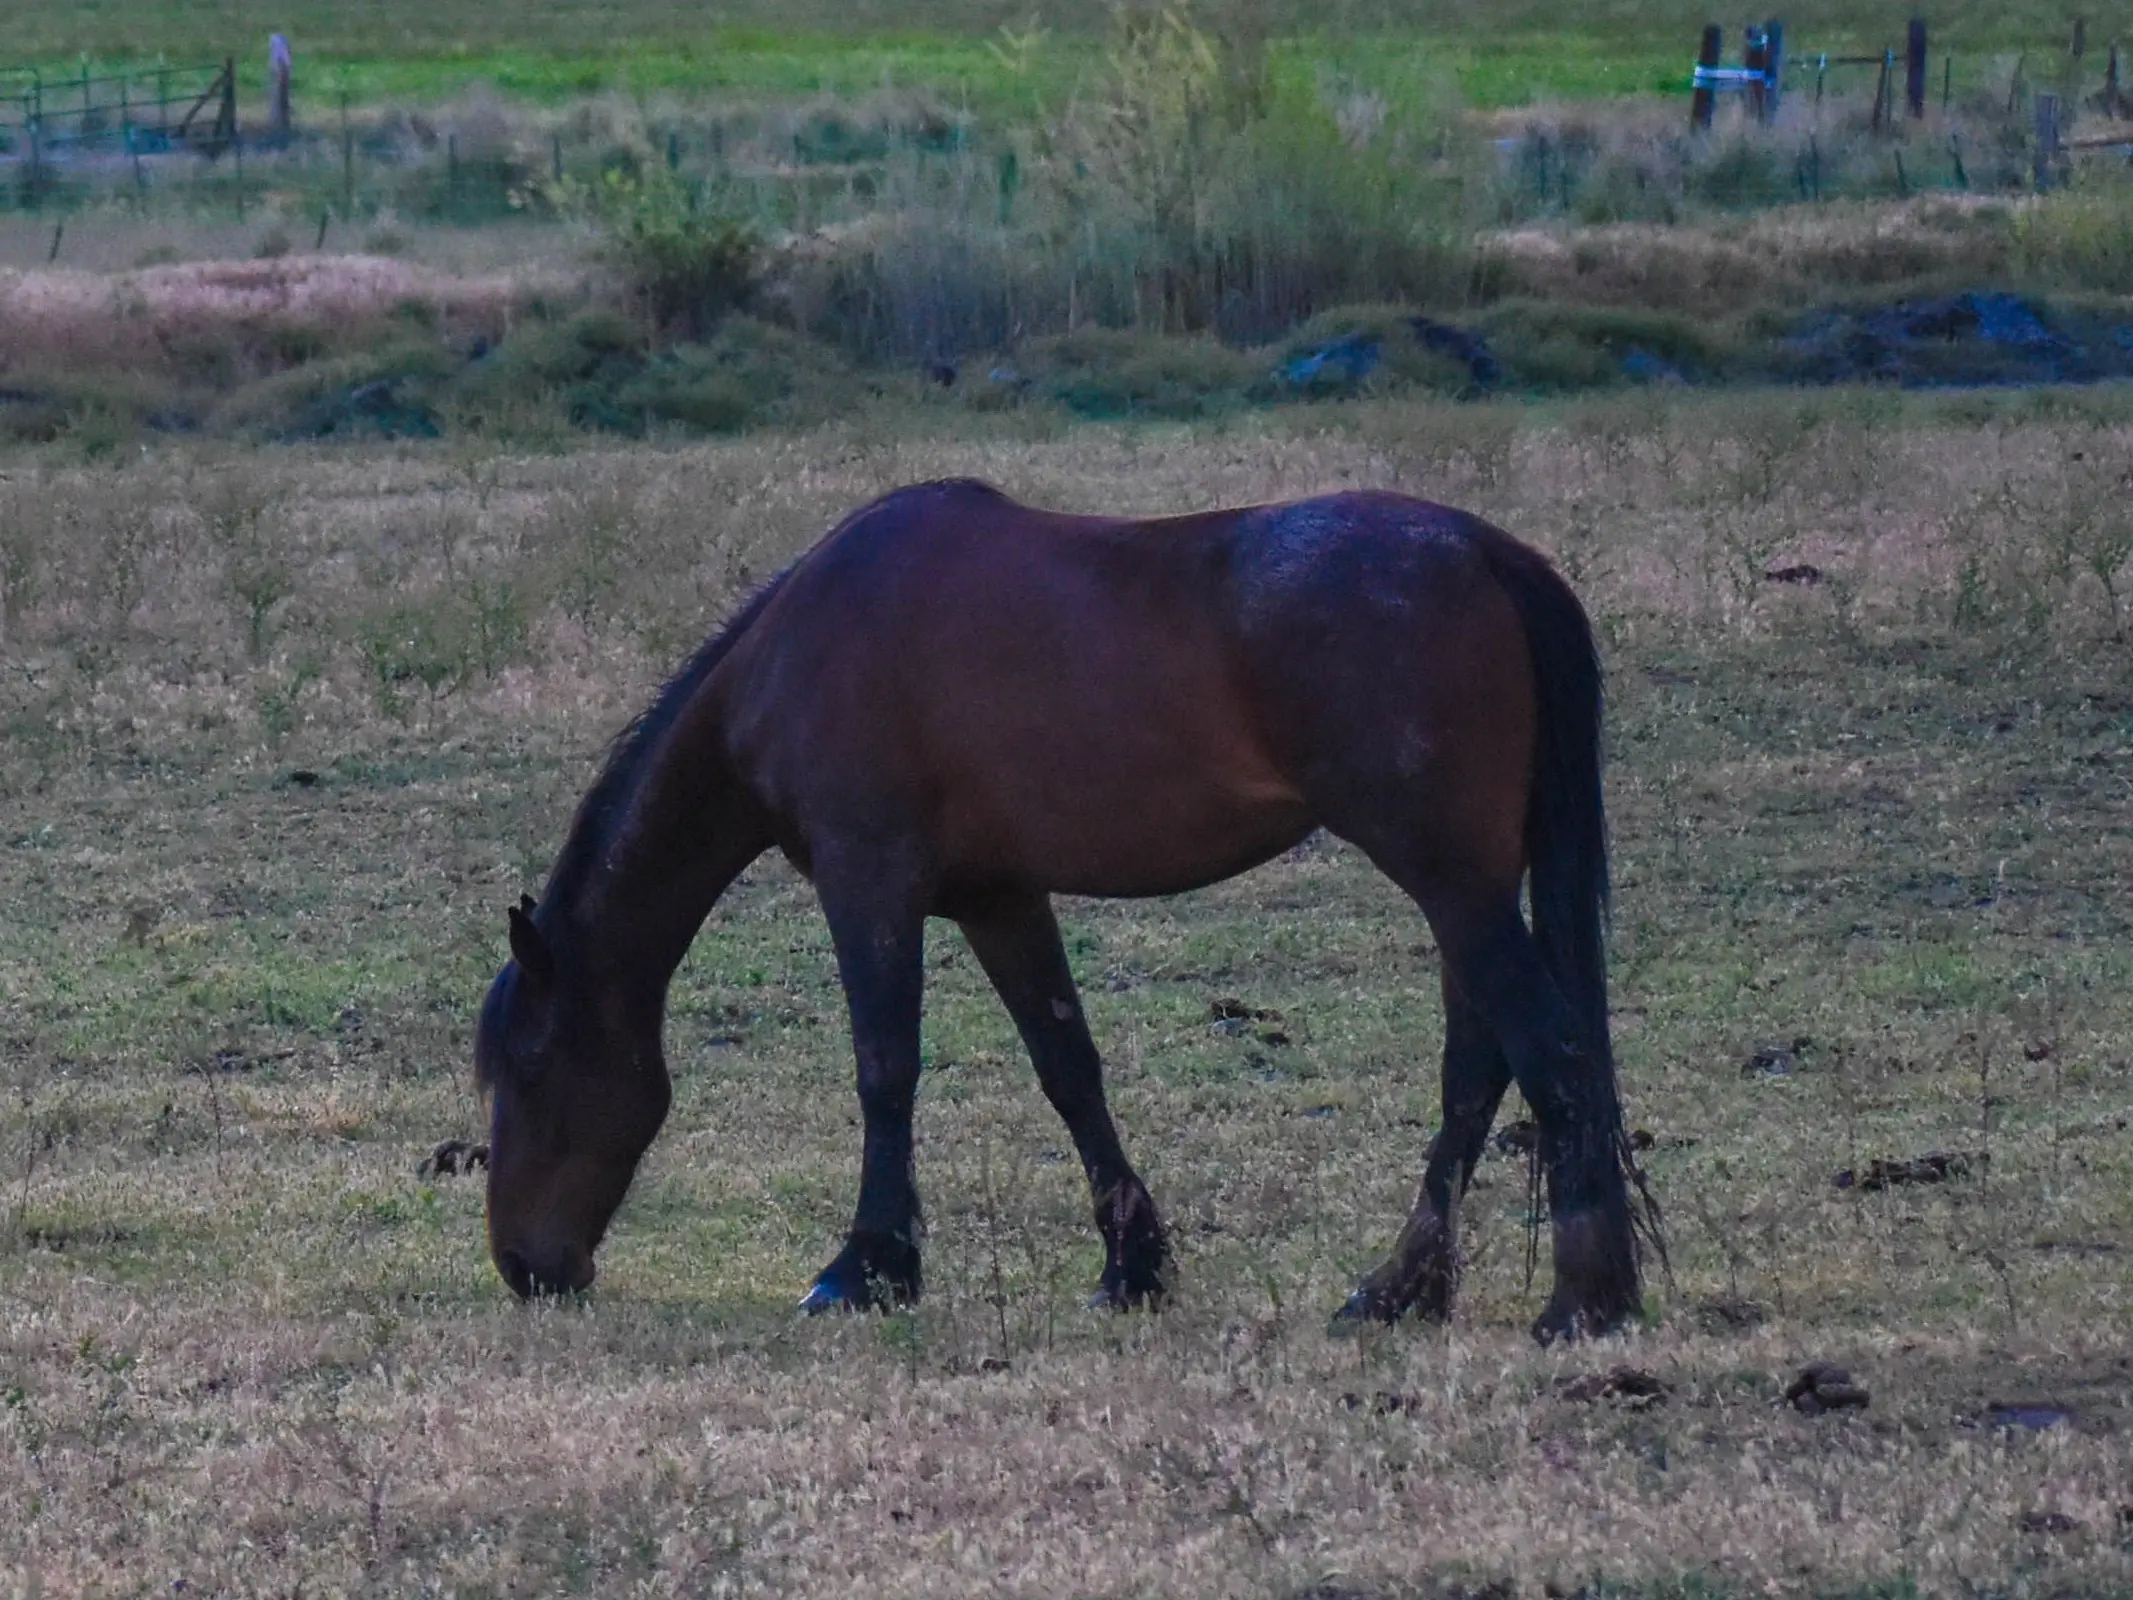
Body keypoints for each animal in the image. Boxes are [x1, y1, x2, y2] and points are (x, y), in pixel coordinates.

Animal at [479, 475, 1646, 1339]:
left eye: (530, 1070)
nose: (525, 1266)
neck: (800, 646)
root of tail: (1488, 553)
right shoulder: (999, 897)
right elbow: (1068, 1071)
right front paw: (1132, 1265)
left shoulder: (871, 880)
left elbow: (884, 1069)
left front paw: (868, 1267)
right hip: (1470, 887)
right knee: (1477, 1070)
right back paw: (1401, 1290)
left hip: (1450, 879)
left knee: (1545, 1048)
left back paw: (1582, 1300)